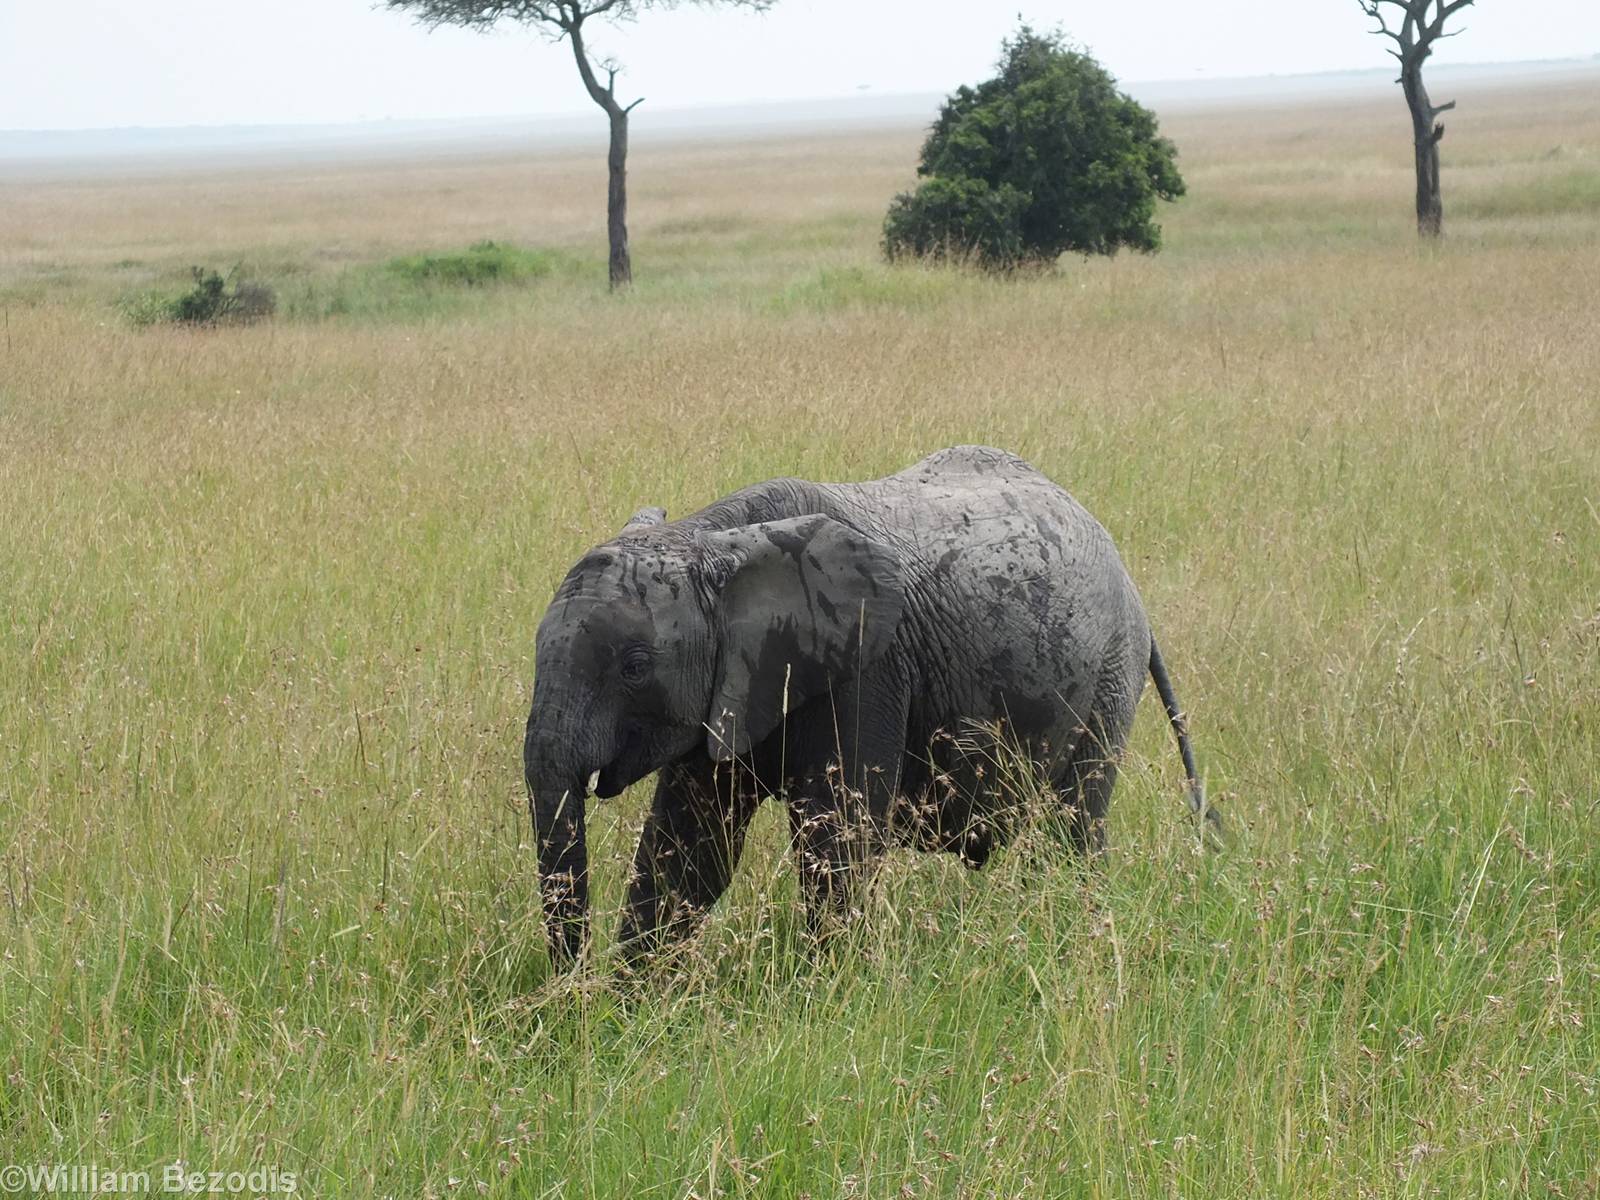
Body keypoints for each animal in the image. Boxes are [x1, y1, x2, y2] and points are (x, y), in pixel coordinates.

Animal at [522, 446, 1216, 969]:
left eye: (635, 668)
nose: (571, 997)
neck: (713, 540)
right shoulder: (727, 690)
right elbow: (687, 851)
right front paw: (629, 1012)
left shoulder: (868, 668)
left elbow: (835, 840)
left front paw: (824, 1000)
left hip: (1110, 678)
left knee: (1071, 828)